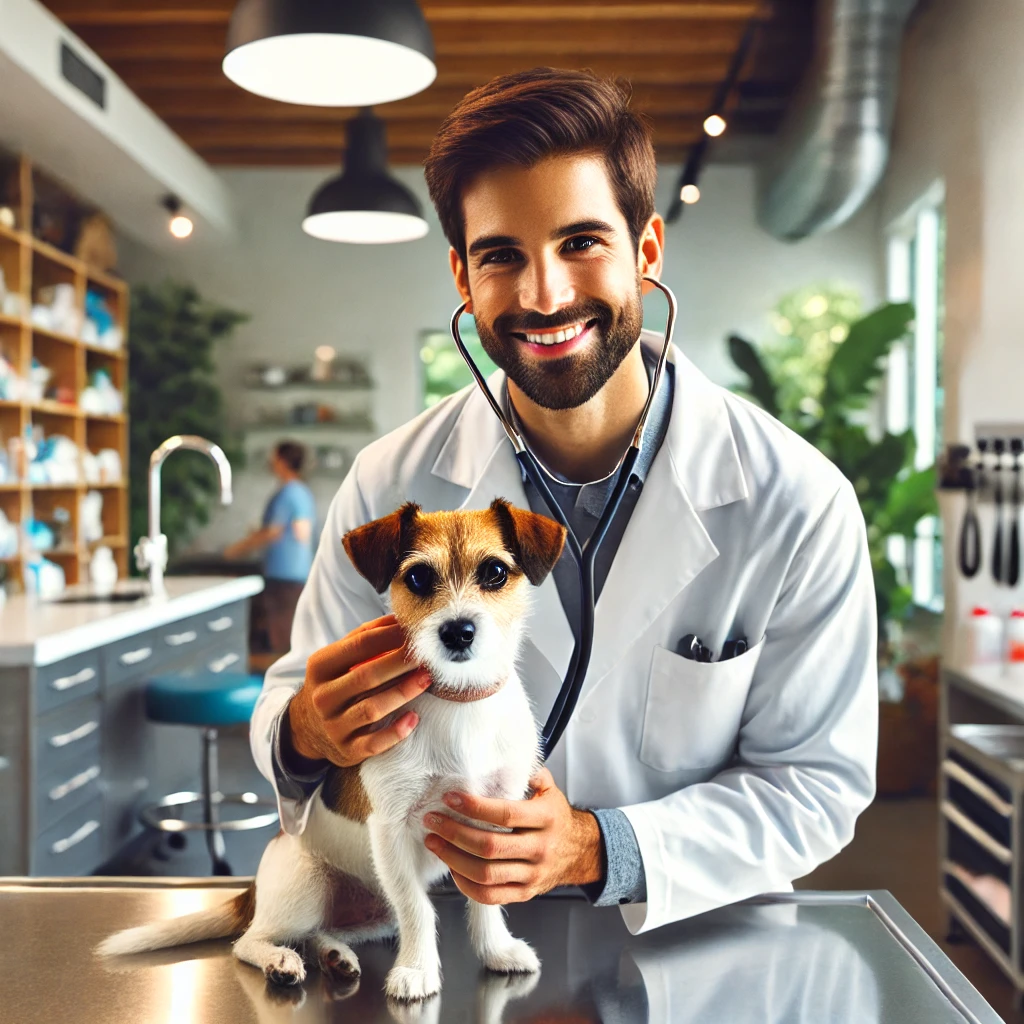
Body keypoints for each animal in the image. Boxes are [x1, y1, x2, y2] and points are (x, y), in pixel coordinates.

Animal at [97, 499, 569, 1003]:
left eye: (495, 572)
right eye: (419, 577)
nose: (458, 631)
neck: (457, 700)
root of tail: (255, 893)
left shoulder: (493, 820)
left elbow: (485, 896)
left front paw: (496, 950)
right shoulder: (390, 828)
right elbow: (418, 908)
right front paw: (417, 970)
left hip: (371, 911)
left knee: (326, 932)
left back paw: (335, 957)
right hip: (308, 888)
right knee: (251, 941)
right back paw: (282, 962)